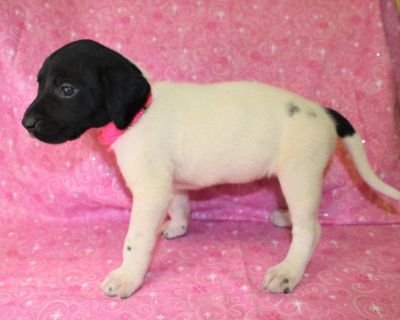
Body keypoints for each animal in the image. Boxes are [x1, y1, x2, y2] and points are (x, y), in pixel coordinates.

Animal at [22, 39, 400, 298]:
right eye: (40, 84)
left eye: (67, 89)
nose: (26, 123)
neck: (140, 113)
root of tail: (322, 111)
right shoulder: (170, 184)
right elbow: (180, 204)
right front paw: (177, 227)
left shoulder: (149, 192)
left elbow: (135, 240)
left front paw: (127, 276)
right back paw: (286, 219)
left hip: (299, 175)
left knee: (312, 230)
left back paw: (289, 269)